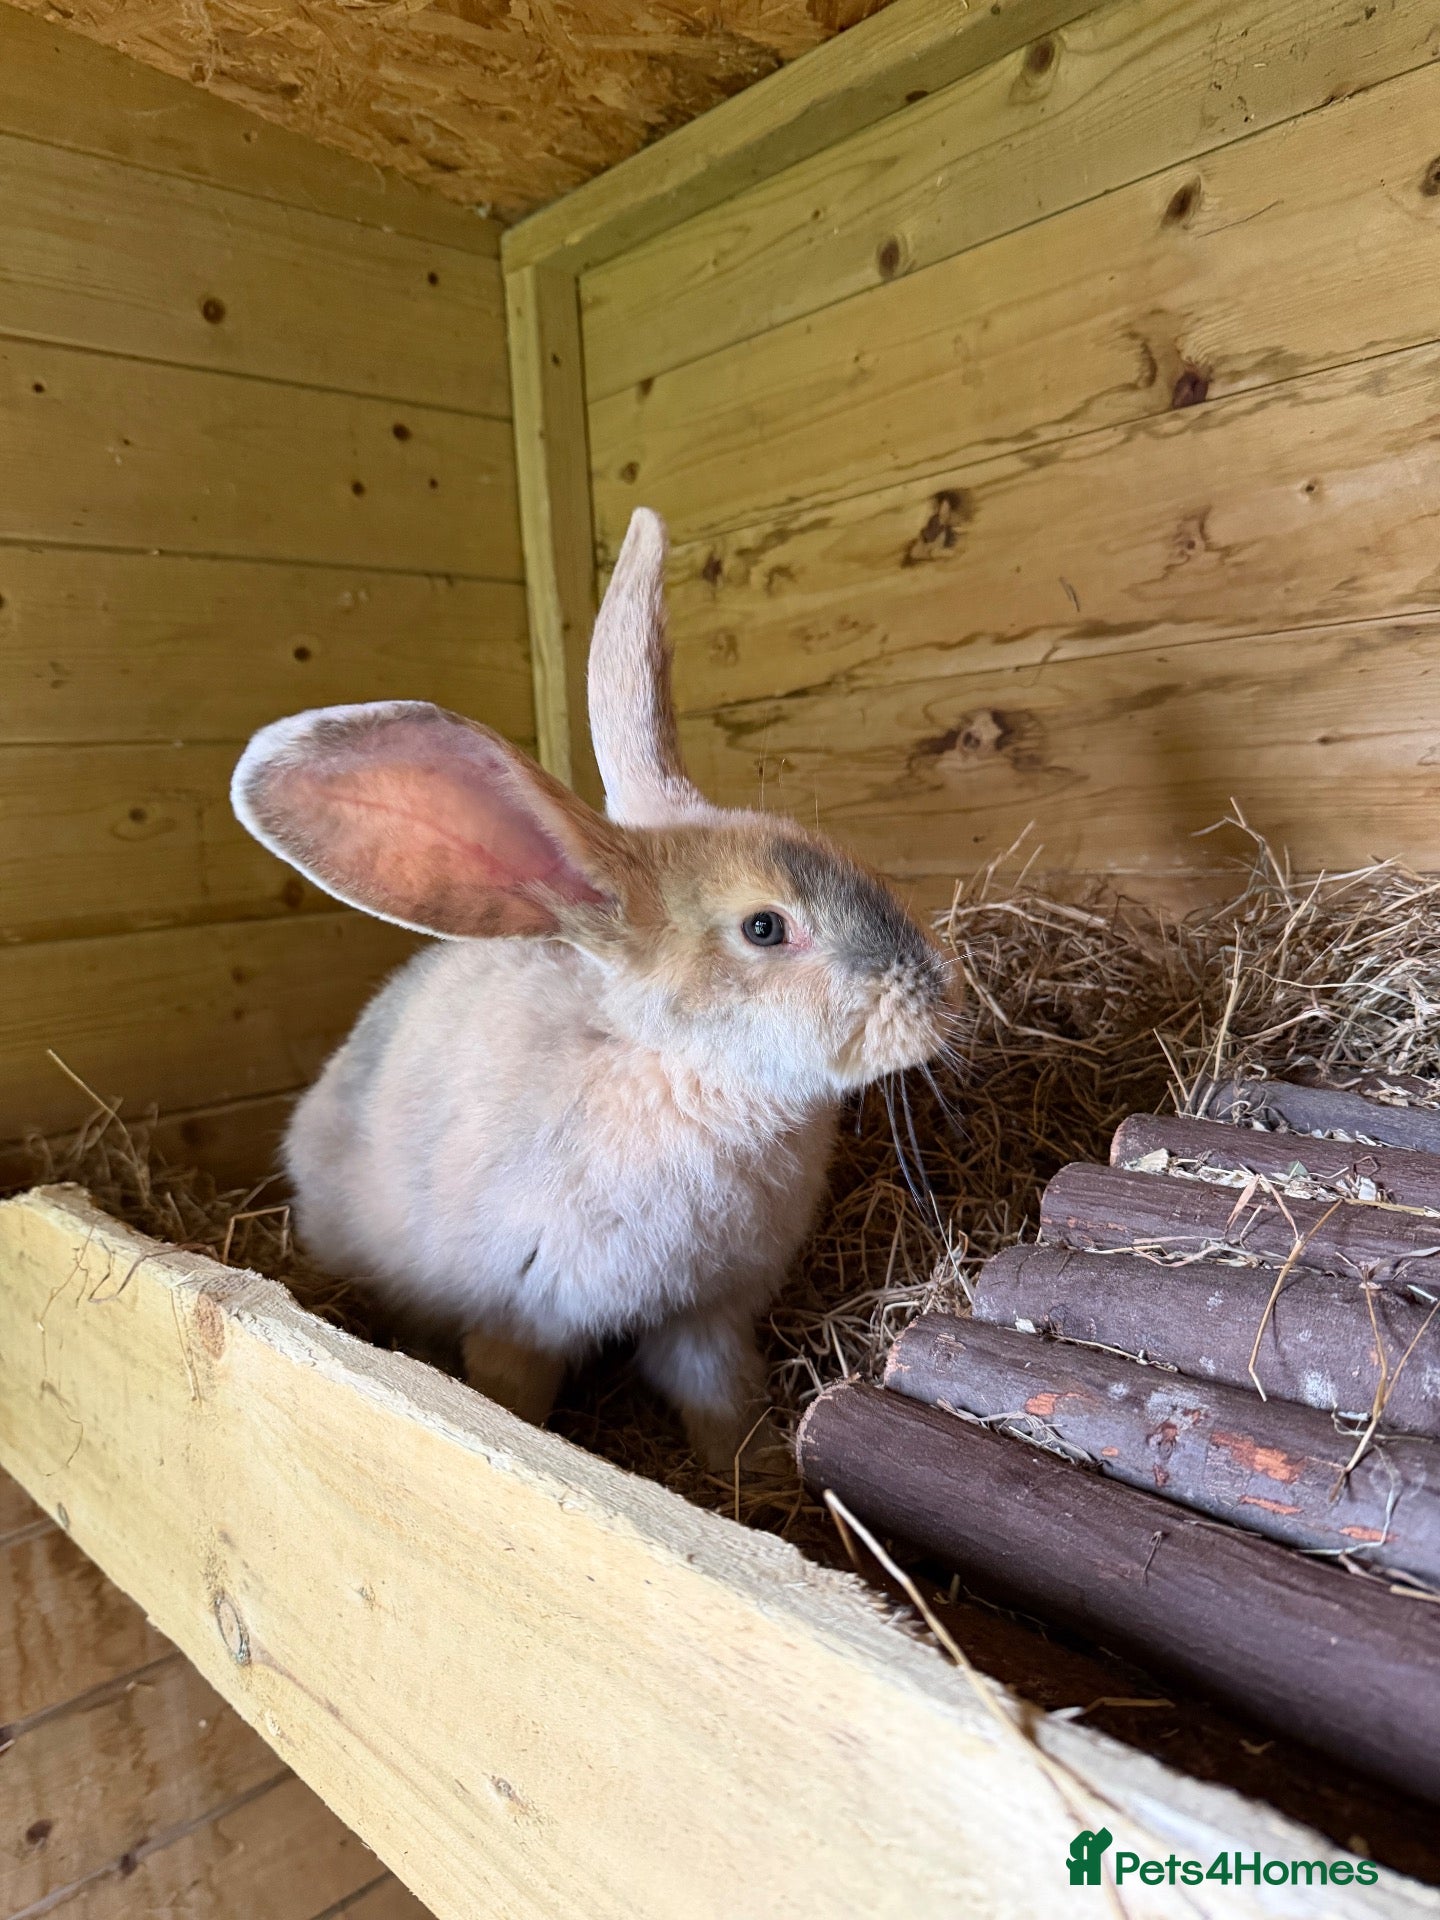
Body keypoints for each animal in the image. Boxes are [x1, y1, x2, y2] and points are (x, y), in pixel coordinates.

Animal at [231, 507, 952, 1468]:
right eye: (765, 928)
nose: (937, 998)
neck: (672, 1070)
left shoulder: (708, 1316)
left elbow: (721, 1399)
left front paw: (753, 1471)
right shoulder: (522, 1317)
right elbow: (512, 1401)